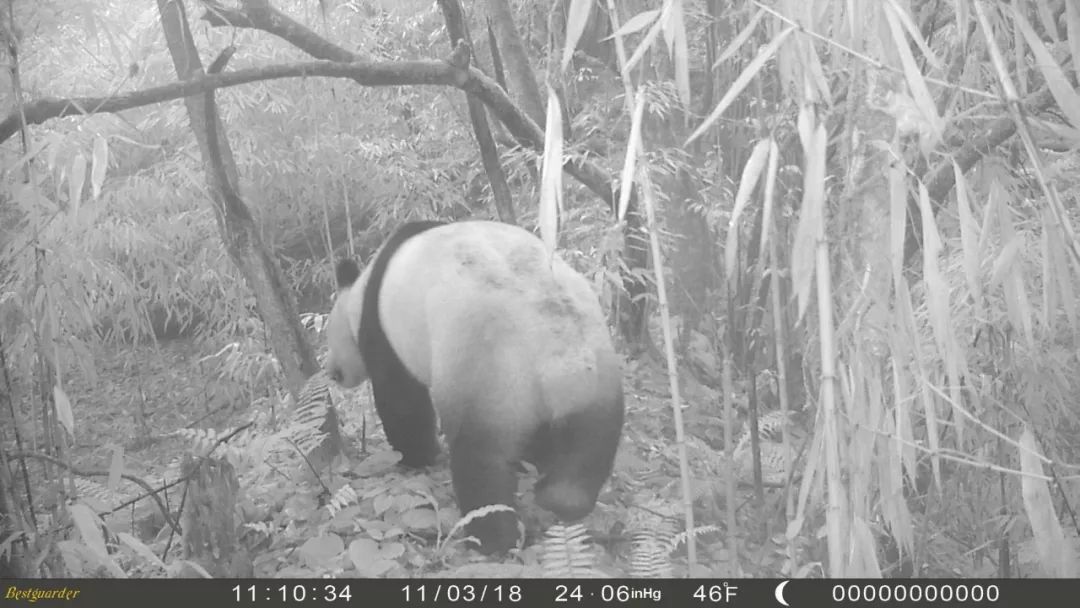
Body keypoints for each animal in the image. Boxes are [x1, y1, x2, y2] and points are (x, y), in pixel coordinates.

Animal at [325, 220, 624, 554]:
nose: (331, 372)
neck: (363, 289)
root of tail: (560, 357)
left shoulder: (385, 328)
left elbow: (401, 399)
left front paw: (418, 457)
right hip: (598, 376)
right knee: (591, 441)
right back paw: (562, 499)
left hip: (490, 369)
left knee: (481, 458)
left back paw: (493, 536)